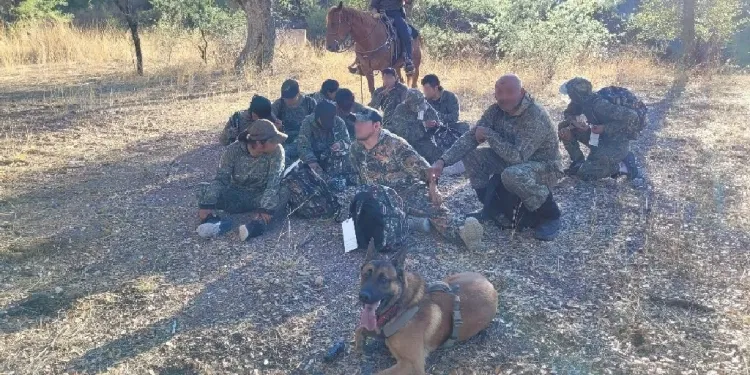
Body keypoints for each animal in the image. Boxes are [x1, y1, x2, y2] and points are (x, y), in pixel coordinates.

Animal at [356, 245, 500, 374]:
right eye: (365, 275)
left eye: (384, 279)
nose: (363, 296)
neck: (400, 307)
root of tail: (490, 285)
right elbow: (359, 329)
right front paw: (359, 345)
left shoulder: (412, 365)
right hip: (448, 280)